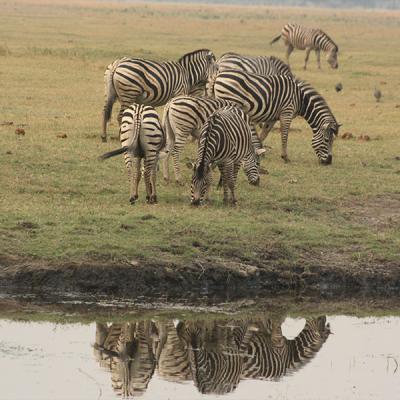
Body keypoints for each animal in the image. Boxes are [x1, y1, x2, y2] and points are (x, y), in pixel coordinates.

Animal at [212, 69, 340, 163]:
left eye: (333, 140)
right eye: (327, 140)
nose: (329, 162)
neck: (301, 99)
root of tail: (219, 74)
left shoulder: (273, 117)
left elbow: (264, 133)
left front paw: (260, 151)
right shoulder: (286, 113)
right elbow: (284, 135)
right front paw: (285, 157)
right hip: (229, 101)